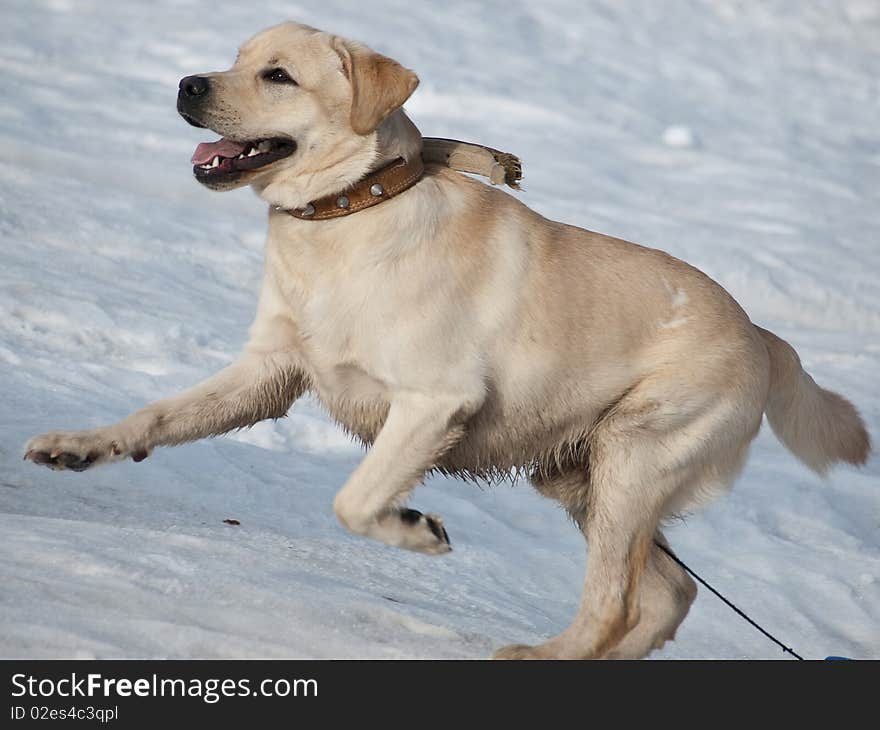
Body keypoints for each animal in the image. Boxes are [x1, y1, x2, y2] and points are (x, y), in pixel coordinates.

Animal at [24, 21, 868, 660]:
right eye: (235, 58)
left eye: (277, 75)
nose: (186, 85)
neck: (348, 215)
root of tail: (765, 336)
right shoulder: (267, 374)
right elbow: (157, 415)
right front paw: (79, 446)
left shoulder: (434, 404)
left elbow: (354, 499)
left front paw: (417, 532)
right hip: (581, 476)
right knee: (668, 595)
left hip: (633, 459)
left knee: (616, 604)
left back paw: (538, 657)